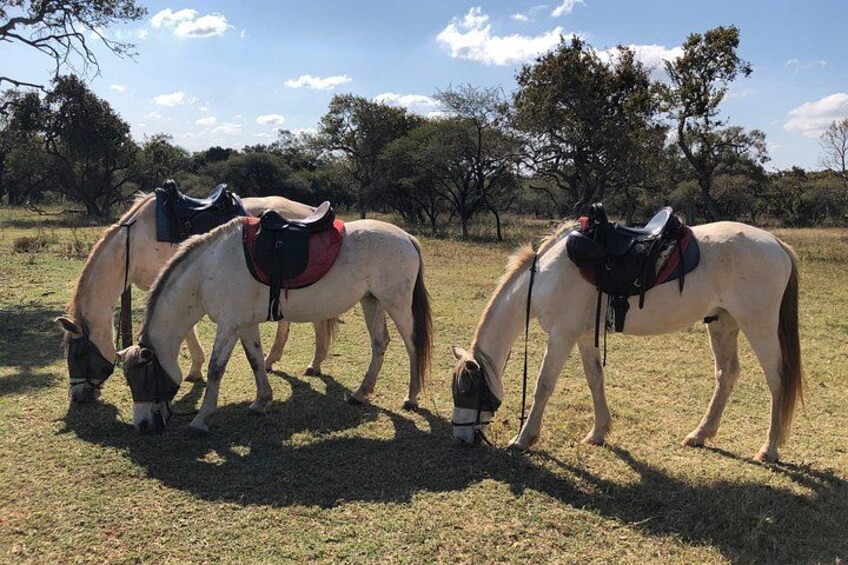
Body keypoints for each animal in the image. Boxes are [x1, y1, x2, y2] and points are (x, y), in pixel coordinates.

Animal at [57, 193, 335, 403]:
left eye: (78, 354)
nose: (78, 395)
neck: (135, 242)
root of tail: (309, 209)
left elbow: (187, 330)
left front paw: (194, 369)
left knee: (319, 321)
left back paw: (315, 363)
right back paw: (271, 359)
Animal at [116, 216, 432, 434]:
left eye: (144, 378)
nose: (142, 426)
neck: (208, 270)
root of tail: (406, 237)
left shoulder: (229, 325)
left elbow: (216, 369)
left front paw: (201, 419)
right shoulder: (244, 324)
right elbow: (255, 359)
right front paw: (261, 402)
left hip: (396, 305)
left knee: (412, 344)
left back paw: (411, 397)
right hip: (371, 302)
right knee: (380, 343)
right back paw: (360, 394)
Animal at [450, 220, 802, 463]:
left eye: (468, 391)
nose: (461, 439)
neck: (547, 276)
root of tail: (775, 243)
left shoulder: (562, 335)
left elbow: (544, 385)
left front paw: (524, 439)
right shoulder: (583, 337)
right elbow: (595, 379)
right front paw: (599, 432)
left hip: (758, 326)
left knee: (777, 380)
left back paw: (769, 450)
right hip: (723, 323)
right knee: (726, 374)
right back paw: (700, 435)